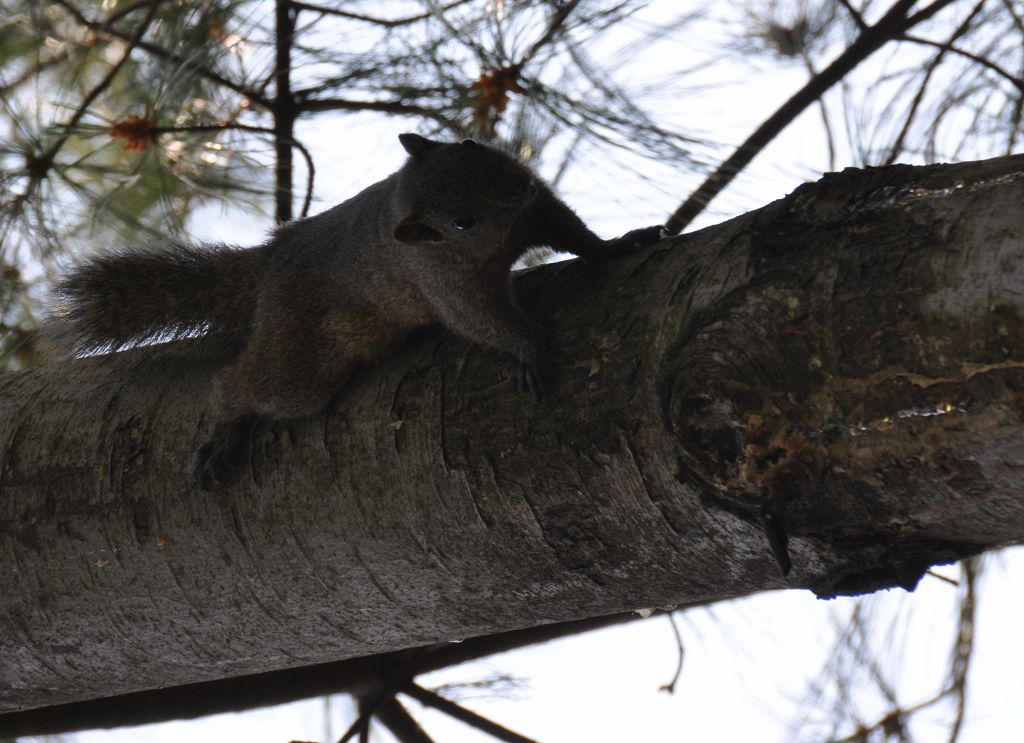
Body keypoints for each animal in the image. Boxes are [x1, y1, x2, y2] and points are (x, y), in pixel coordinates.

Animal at [51, 135, 663, 491]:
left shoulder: (536, 214)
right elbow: (480, 321)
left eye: (472, 144)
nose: (520, 184)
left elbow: (573, 233)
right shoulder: (444, 283)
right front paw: (529, 349)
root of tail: (268, 269)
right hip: (297, 363)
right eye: (461, 221)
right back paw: (224, 430)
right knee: (243, 384)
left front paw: (617, 245)